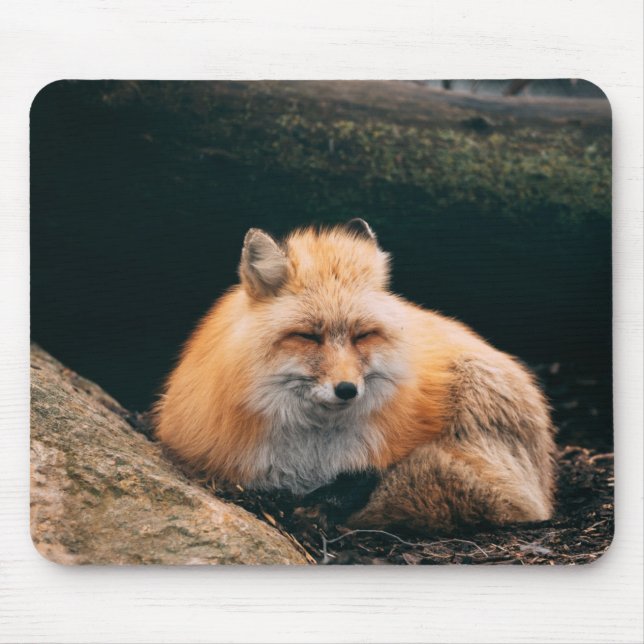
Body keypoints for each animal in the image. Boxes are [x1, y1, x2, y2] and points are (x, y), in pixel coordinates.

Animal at [155, 219, 557, 533]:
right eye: (308, 336)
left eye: (362, 335)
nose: (347, 389)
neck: (312, 456)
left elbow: (360, 483)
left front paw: (326, 505)